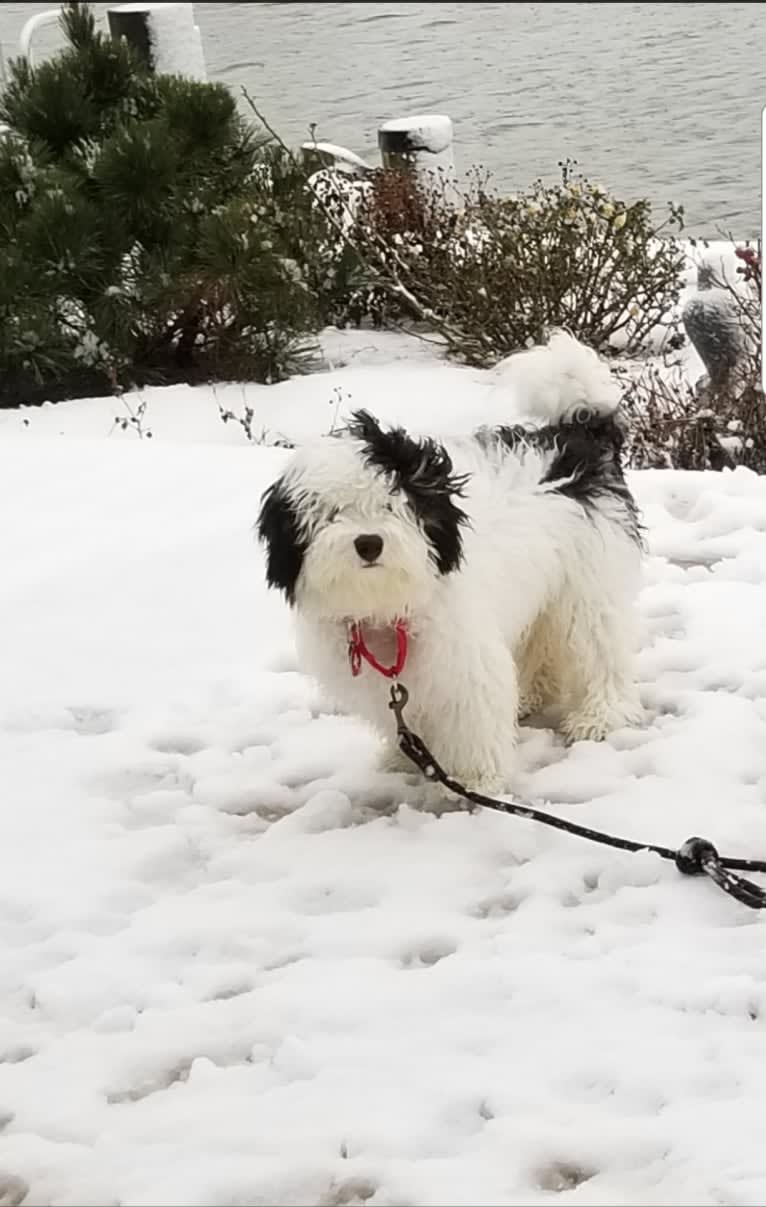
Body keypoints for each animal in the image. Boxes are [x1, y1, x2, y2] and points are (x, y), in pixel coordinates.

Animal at [255, 330, 641, 796]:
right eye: (330, 515)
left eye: (391, 504)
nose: (369, 543)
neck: (387, 609)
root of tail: (580, 433)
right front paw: (404, 757)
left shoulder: (464, 657)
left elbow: (474, 717)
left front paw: (477, 779)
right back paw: (531, 695)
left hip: (589, 584)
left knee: (600, 649)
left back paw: (599, 716)